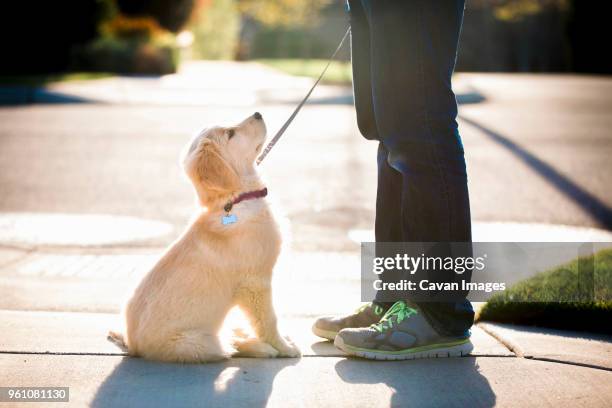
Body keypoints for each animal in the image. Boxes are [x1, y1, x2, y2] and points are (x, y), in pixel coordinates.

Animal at [111, 112, 302, 364]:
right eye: (231, 133)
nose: (258, 113)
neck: (234, 199)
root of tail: (132, 345)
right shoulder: (255, 282)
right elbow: (268, 320)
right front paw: (284, 347)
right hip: (199, 343)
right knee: (228, 346)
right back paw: (262, 348)